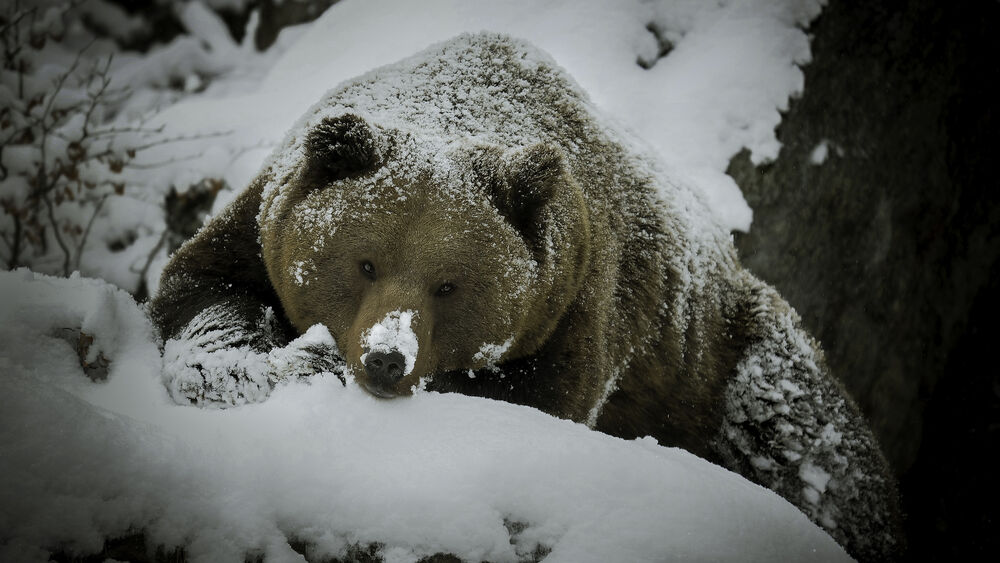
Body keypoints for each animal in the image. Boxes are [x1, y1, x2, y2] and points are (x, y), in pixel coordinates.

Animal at [150, 33, 902, 561]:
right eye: (365, 261)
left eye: (449, 284)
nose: (387, 358)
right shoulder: (258, 225)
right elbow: (204, 294)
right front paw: (269, 361)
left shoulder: (576, 305)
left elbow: (531, 399)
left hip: (725, 361)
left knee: (812, 447)